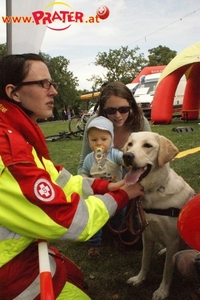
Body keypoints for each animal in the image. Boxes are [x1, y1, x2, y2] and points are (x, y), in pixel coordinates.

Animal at [122, 132, 195, 300]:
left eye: (147, 145)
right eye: (130, 144)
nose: (127, 156)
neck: (154, 190)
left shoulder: (172, 240)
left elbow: (167, 271)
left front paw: (162, 291)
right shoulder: (146, 235)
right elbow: (145, 261)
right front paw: (139, 279)